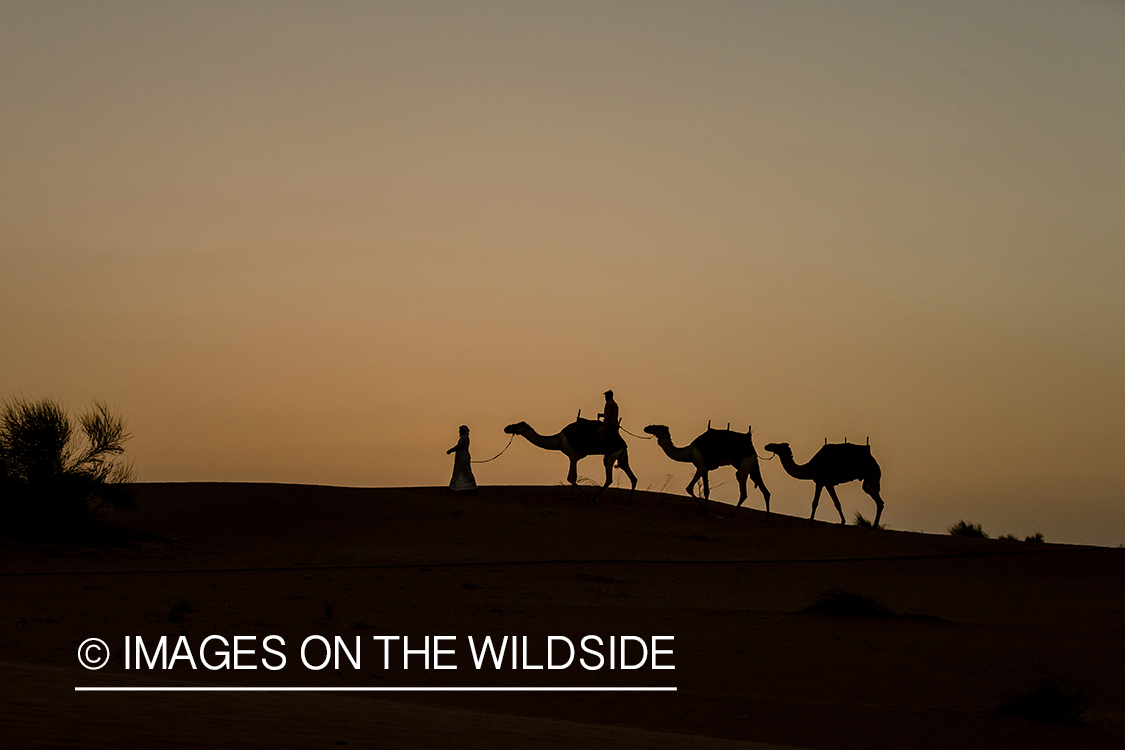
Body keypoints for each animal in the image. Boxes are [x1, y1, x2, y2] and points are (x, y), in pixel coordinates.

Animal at [506, 420, 639, 501]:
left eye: (517, 425)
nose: (507, 428)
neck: (559, 441)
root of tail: (623, 443)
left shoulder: (573, 455)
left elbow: (571, 477)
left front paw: (585, 493)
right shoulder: (573, 457)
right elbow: (573, 477)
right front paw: (570, 495)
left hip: (611, 454)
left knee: (609, 477)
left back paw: (593, 498)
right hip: (621, 455)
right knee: (631, 476)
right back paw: (629, 501)